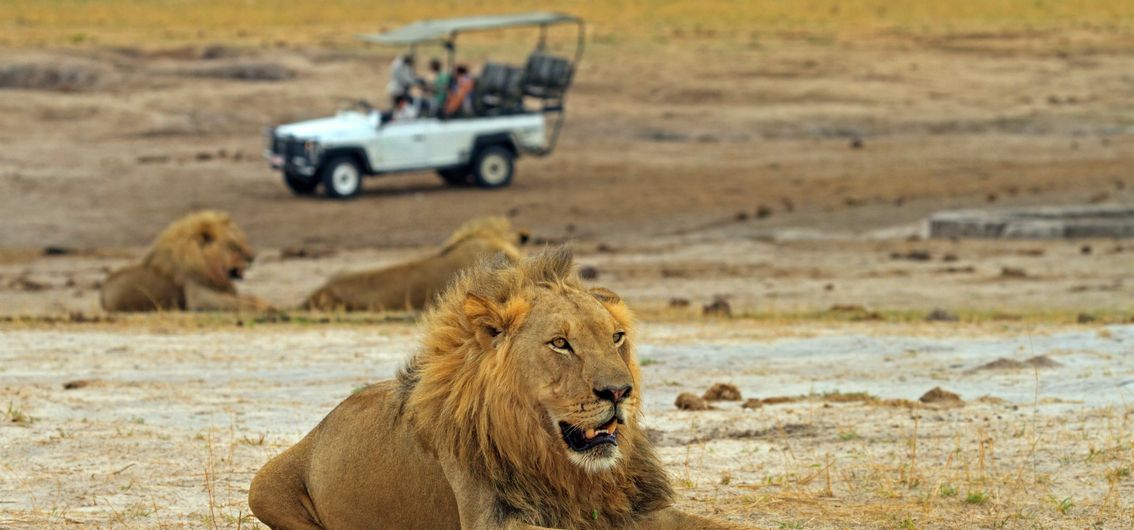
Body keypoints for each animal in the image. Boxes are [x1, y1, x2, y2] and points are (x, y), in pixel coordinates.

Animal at [98, 211, 271, 313]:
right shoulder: (200, 299)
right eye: (234, 246)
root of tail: (102, 291)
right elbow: (243, 302)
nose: (253, 257)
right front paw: (267, 306)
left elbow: (246, 297)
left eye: (243, 241)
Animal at [249, 248, 743, 530]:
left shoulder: (635, 509)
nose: (620, 391)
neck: (559, 465)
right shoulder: (494, 519)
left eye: (616, 337)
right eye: (560, 344)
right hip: (263, 484)